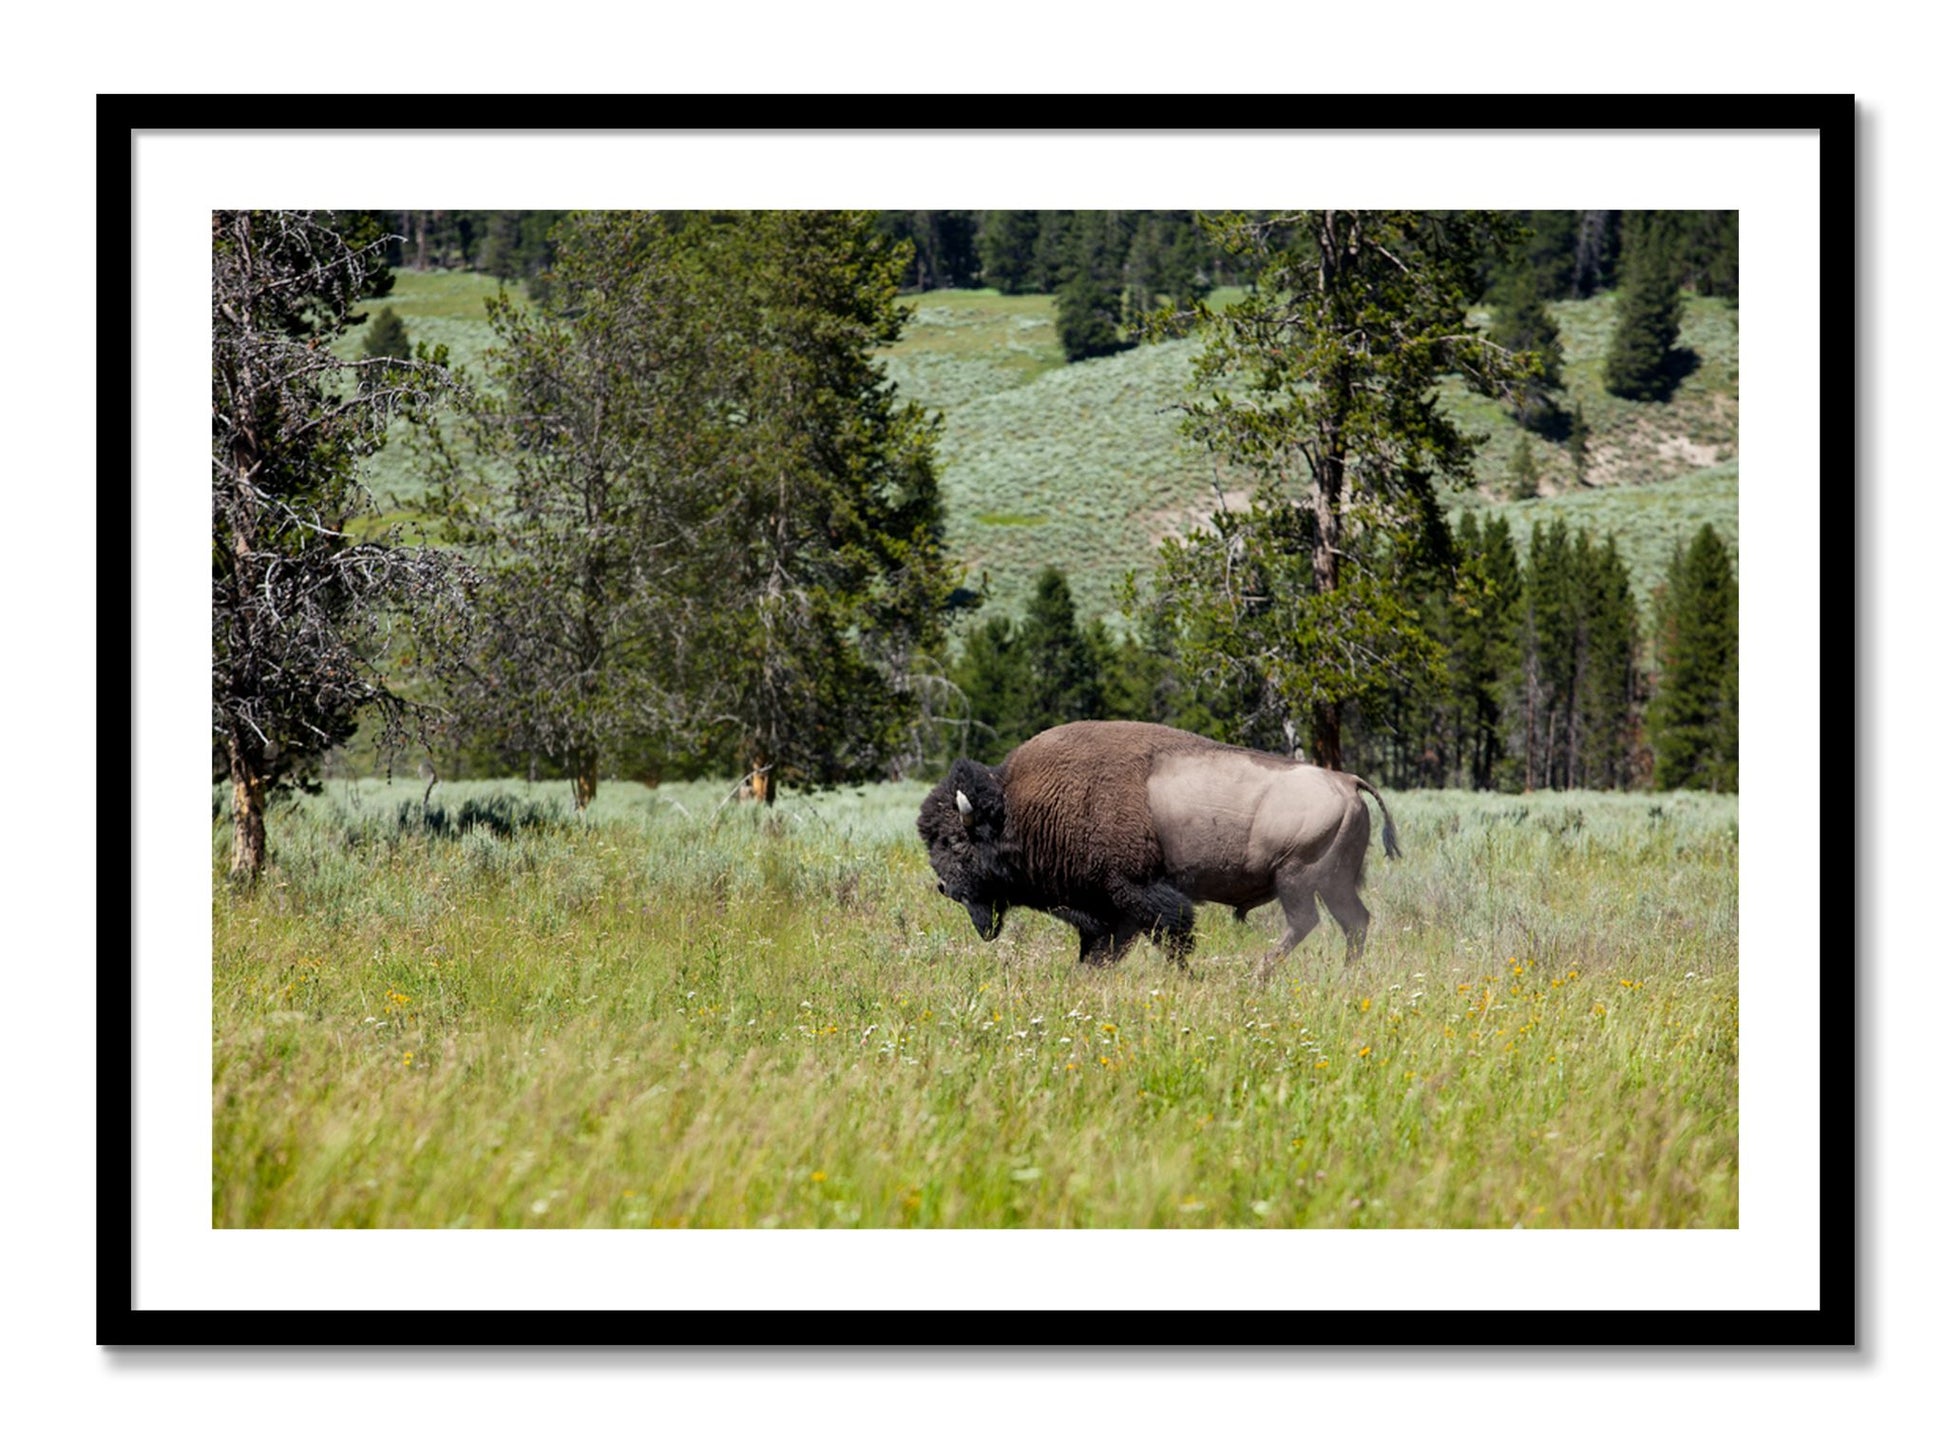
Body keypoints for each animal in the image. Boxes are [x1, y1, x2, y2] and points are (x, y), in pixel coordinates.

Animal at [917, 720, 1400, 976]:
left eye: (954, 841)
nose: (945, 887)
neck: (1019, 807)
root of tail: (1347, 781)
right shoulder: (1108, 910)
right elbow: (1103, 948)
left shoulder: (1137, 892)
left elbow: (1172, 935)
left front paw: (1185, 976)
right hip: (1334, 883)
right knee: (1354, 922)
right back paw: (1345, 974)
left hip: (1296, 878)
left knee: (1306, 922)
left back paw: (1258, 973)